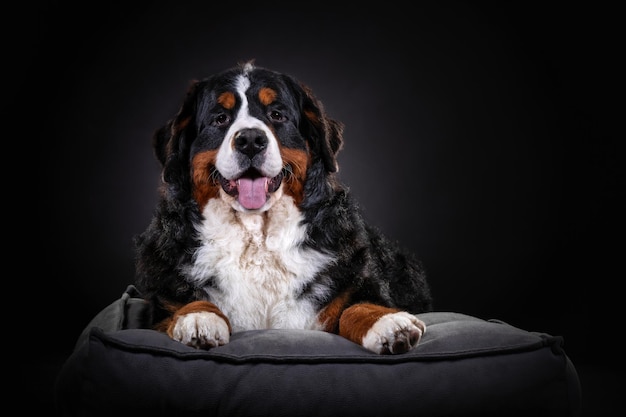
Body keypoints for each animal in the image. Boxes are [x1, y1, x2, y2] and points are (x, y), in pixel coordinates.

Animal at [134, 61, 432, 354]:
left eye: (277, 115)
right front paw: (198, 318)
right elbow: (184, 304)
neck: (256, 236)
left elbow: (358, 305)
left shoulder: (351, 282)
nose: (250, 140)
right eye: (220, 118)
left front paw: (389, 323)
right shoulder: (158, 305)